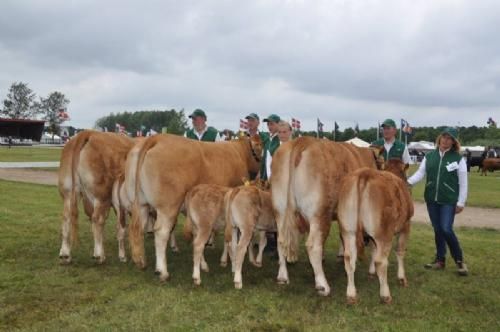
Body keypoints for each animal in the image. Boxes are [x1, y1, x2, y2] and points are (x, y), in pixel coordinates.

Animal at [58, 131, 135, 264]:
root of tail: (88, 133)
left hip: (68, 193)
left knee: (67, 217)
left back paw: (65, 254)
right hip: (101, 196)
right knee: (97, 219)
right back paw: (99, 255)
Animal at [127, 132, 264, 280]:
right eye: (261, 147)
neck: (240, 151)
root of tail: (157, 137)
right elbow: (230, 238)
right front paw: (227, 260)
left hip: (141, 203)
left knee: (138, 228)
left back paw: (141, 261)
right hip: (168, 206)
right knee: (161, 232)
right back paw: (163, 271)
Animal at [272, 136, 380, 296]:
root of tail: (301, 141)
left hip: (280, 210)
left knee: (281, 241)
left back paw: (282, 277)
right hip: (319, 213)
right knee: (312, 246)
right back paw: (322, 285)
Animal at [338, 160, 412, 304]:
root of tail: (365, 173)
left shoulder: (371, 236)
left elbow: (373, 250)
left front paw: (371, 272)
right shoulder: (406, 226)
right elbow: (400, 251)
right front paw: (401, 278)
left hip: (348, 230)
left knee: (349, 259)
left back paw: (351, 294)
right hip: (384, 234)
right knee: (381, 262)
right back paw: (385, 295)